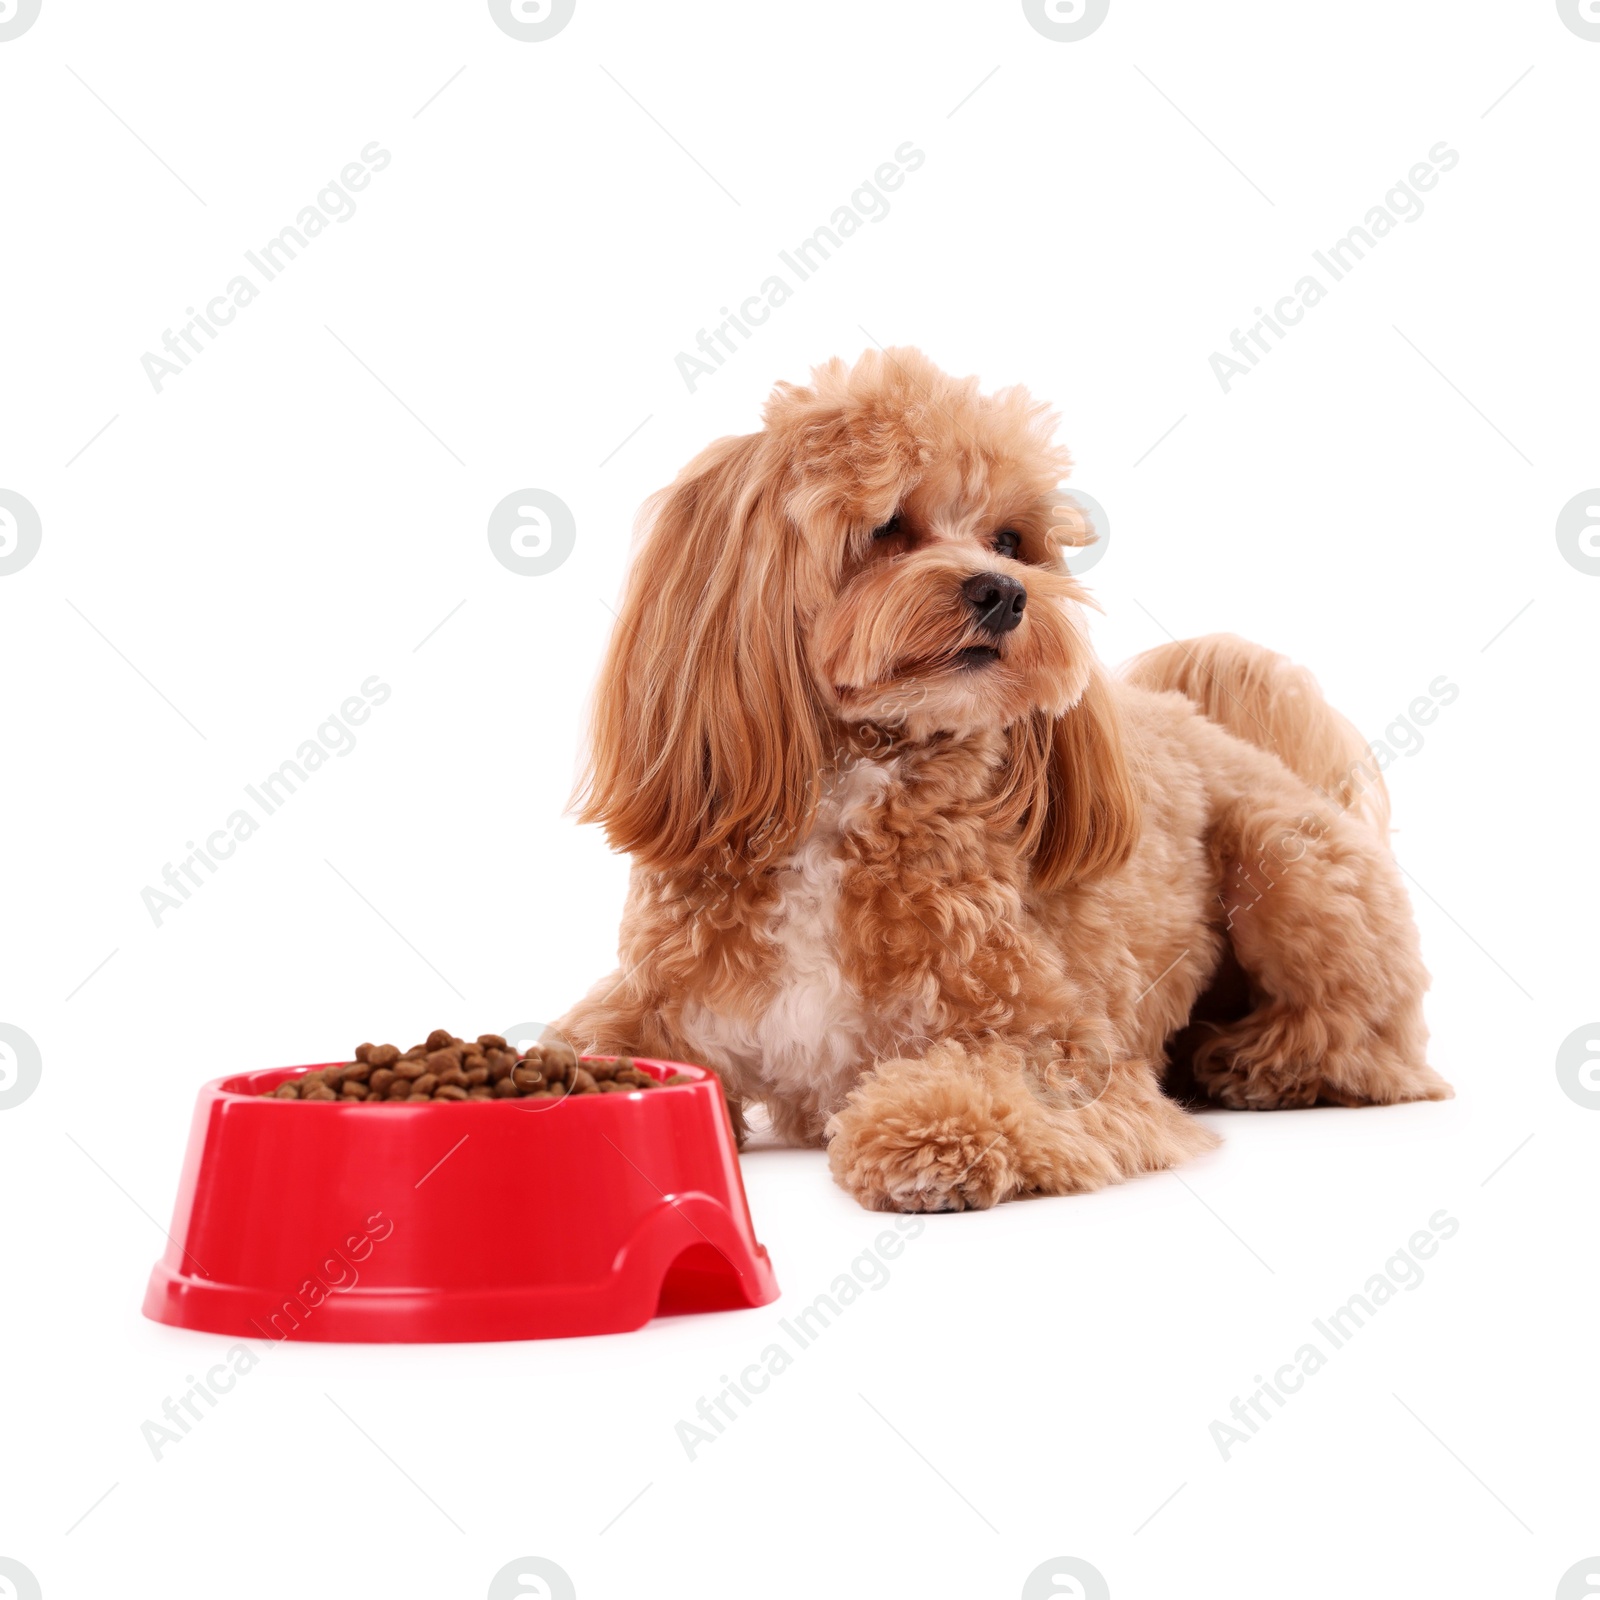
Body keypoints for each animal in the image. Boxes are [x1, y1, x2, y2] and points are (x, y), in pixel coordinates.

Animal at [560, 347, 1452, 1209]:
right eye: (888, 526)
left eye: (1011, 540)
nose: (1003, 592)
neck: (852, 785)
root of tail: (1213, 724)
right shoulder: (649, 1004)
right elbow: (588, 1046)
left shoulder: (1058, 1044)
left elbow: (996, 1078)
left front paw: (928, 1134)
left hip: (1288, 862)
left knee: (1366, 1036)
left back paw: (1259, 1062)